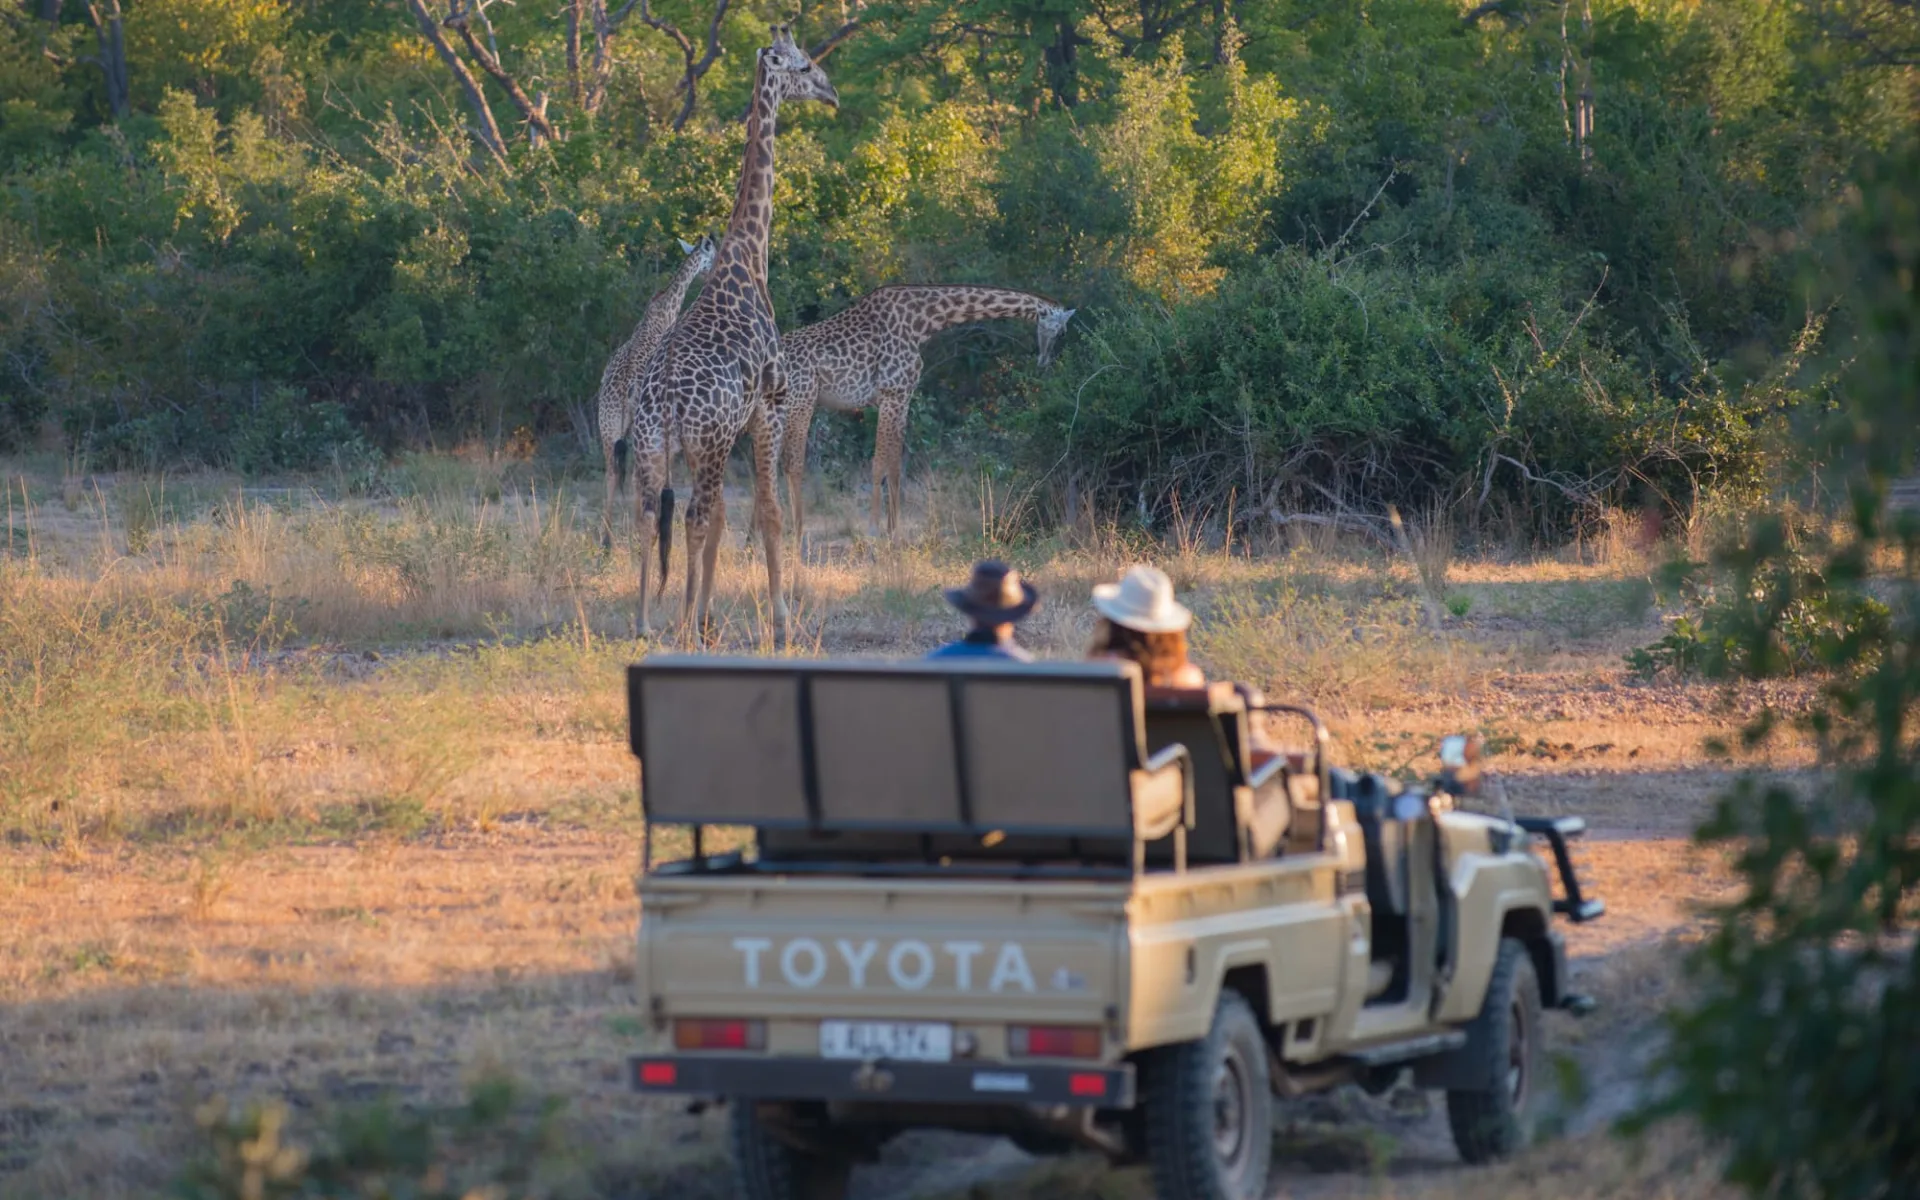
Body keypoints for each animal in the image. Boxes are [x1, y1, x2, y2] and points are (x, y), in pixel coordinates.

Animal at [591, 234, 714, 552]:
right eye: (713, 254)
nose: (711, 272)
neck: (665, 307)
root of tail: (623, 390)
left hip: (608, 425)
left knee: (612, 471)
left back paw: (606, 540)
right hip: (641, 426)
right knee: (637, 475)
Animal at [625, 25, 837, 645]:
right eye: (804, 65)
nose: (831, 92)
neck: (748, 256)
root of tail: (669, 401)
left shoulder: (732, 430)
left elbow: (725, 519)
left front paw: (708, 614)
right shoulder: (769, 406)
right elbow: (767, 511)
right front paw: (781, 619)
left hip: (657, 448)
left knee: (651, 516)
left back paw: (647, 621)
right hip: (711, 441)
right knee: (694, 516)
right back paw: (681, 626)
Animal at [779, 282, 1082, 537]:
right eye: (1062, 331)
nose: (1044, 362)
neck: (922, 322)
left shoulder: (902, 397)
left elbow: (894, 466)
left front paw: (894, 532)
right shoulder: (891, 394)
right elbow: (878, 464)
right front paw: (874, 531)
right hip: (802, 402)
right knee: (793, 465)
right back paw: (797, 533)